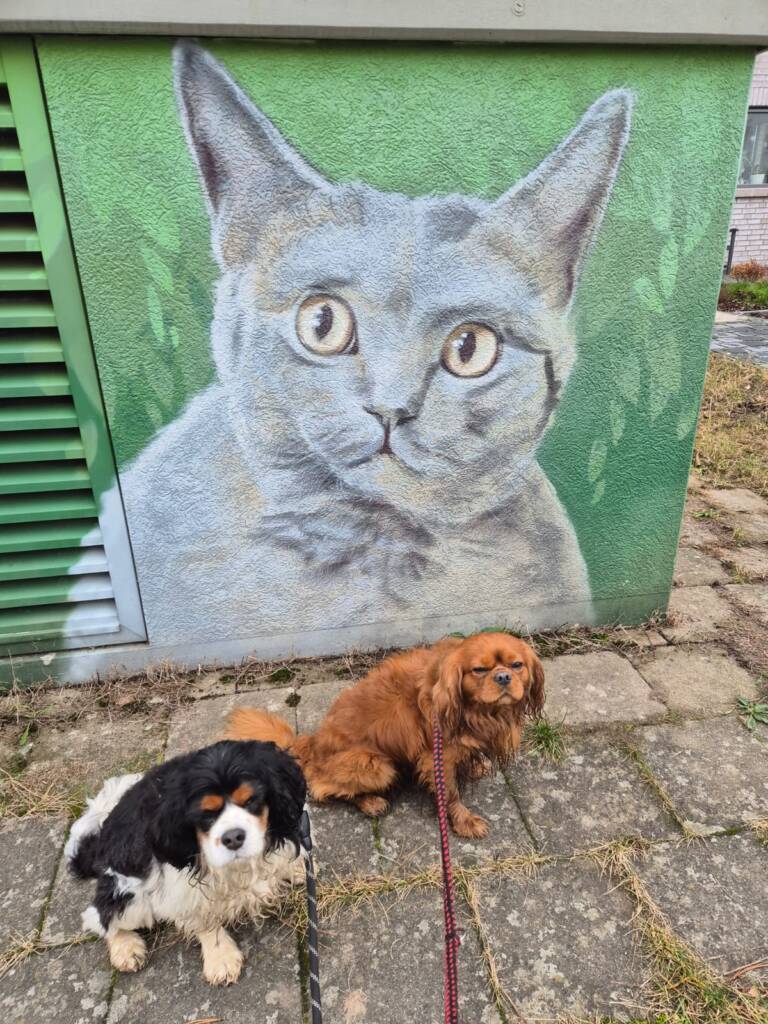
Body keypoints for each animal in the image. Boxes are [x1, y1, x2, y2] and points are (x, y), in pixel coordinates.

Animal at [65, 740, 306, 985]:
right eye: (206, 813)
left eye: (251, 800)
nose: (233, 837)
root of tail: (100, 841)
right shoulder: (180, 886)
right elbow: (203, 919)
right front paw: (221, 957)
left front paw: (295, 868)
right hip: (129, 895)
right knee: (99, 917)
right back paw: (126, 948)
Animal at [226, 633, 544, 838]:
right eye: (479, 670)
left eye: (517, 665)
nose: (503, 677)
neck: (477, 711)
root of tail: (311, 744)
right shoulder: (436, 758)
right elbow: (451, 793)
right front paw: (464, 822)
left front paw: (475, 765)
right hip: (377, 765)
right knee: (320, 787)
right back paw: (370, 802)